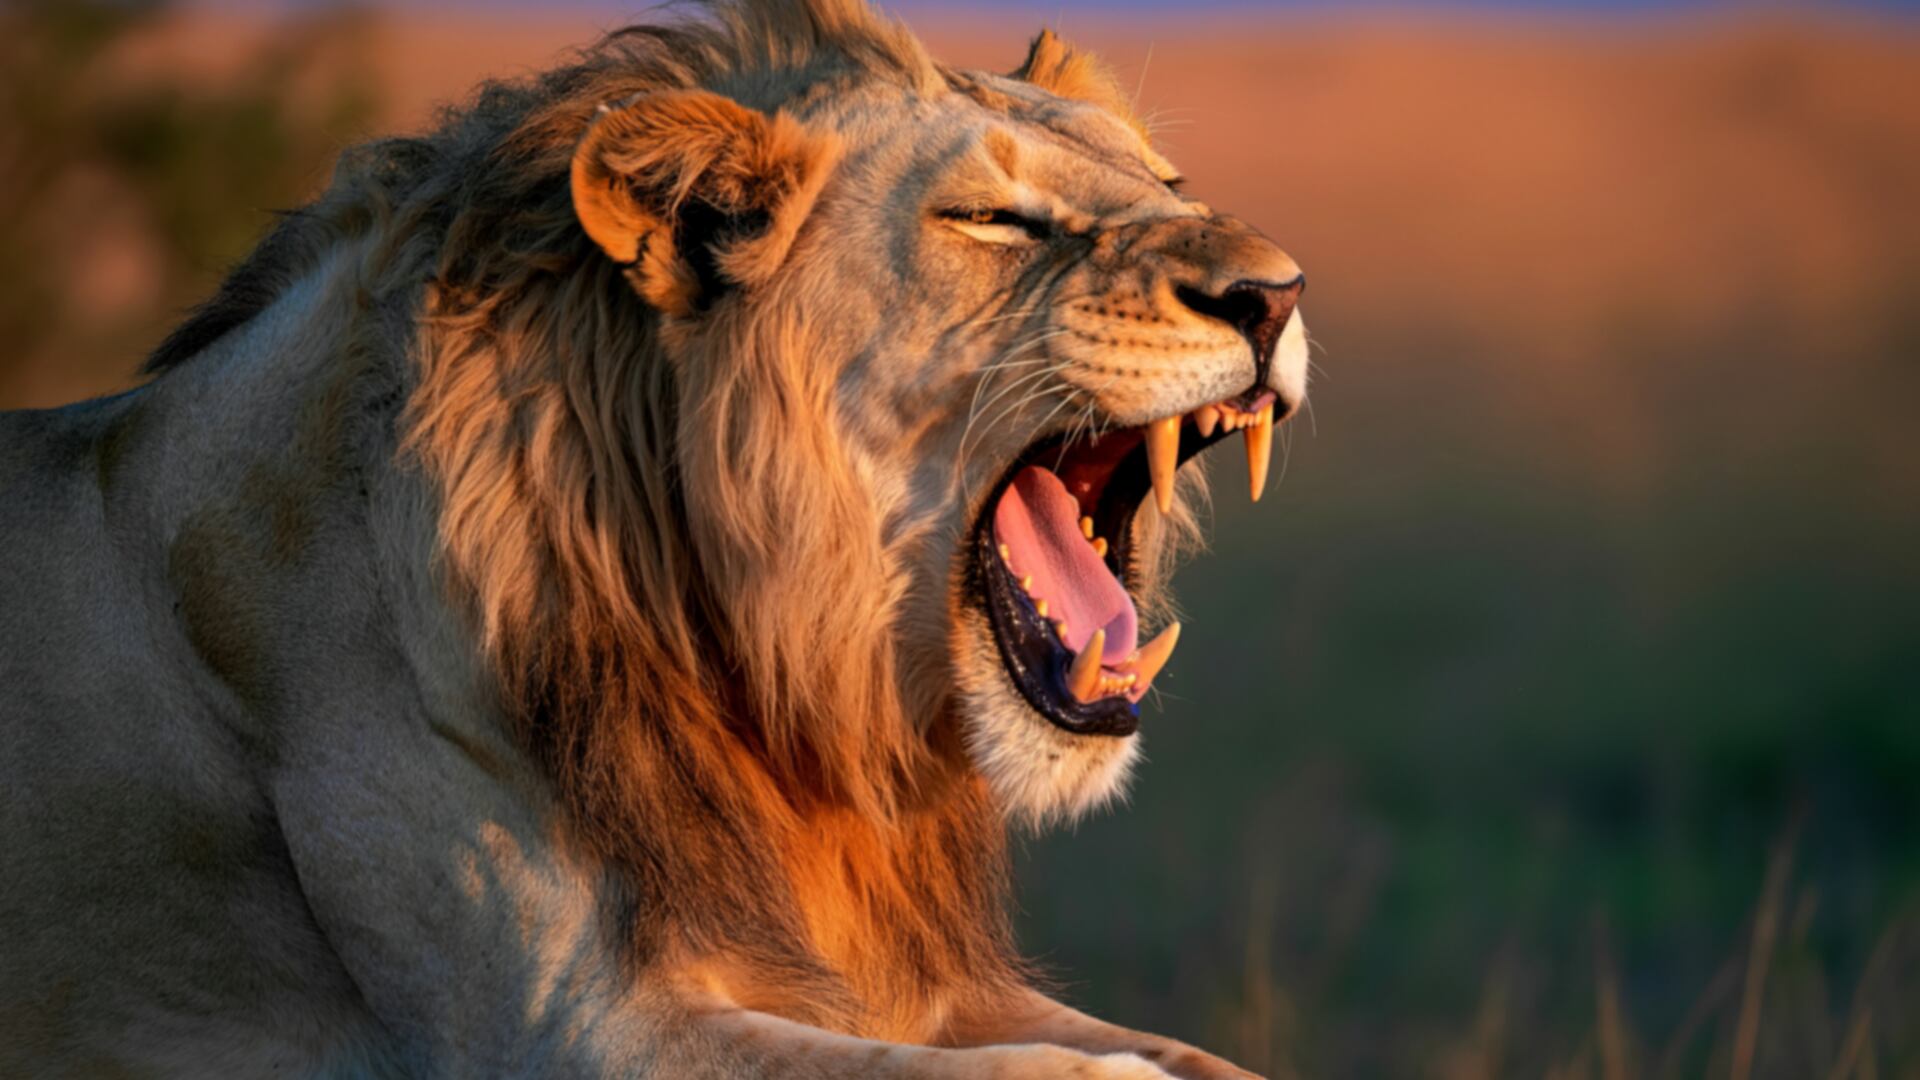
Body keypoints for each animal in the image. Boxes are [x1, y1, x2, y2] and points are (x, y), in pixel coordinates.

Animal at [0, 1, 1309, 1075]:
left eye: (1172, 182)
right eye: (993, 220)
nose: (1277, 291)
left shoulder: (902, 981)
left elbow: (1185, 1057)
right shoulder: (558, 1030)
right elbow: (1054, 1074)